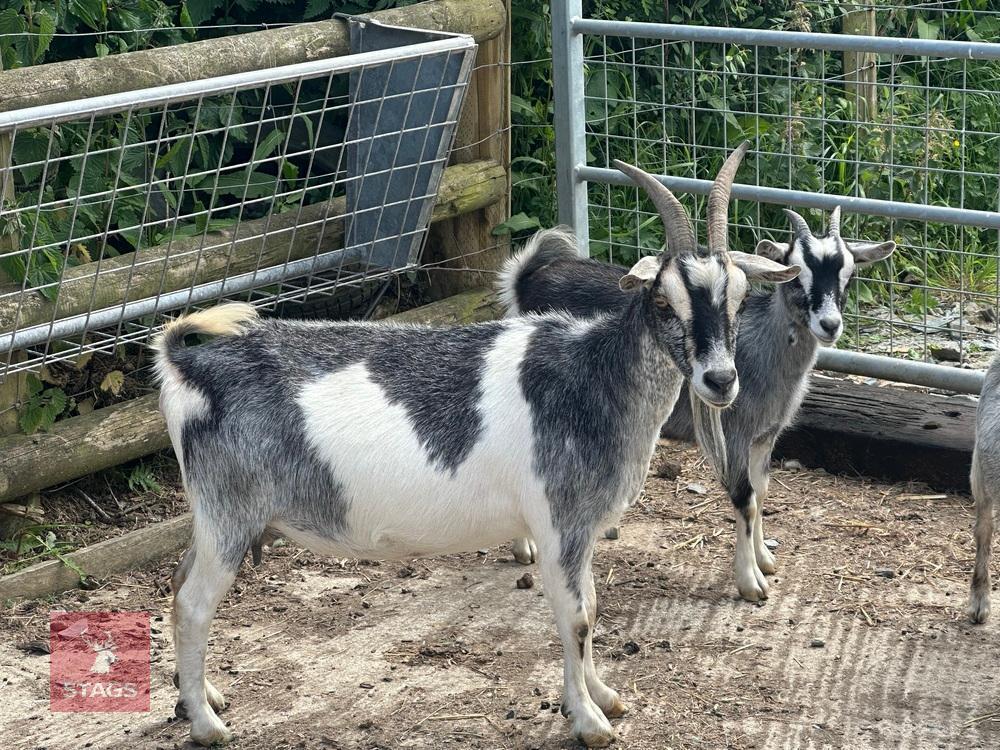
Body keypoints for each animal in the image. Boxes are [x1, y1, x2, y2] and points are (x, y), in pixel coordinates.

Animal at [157, 151, 798, 748]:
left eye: (740, 297)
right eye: (663, 301)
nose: (720, 380)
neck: (592, 377)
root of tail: (189, 367)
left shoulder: (581, 528)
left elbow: (591, 605)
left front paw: (604, 696)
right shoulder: (558, 523)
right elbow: (576, 616)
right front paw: (588, 721)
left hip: (214, 519)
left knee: (179, 584)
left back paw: (201, 696)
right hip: (231, 514)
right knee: (193, 603)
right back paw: (208, 724)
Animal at [506, 207, 895, 602]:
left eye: (850, 274)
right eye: (796, 272)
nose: (829, 324)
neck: (764, 348)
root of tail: (527, 279)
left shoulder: (764, 436)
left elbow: (761, 492)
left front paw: (765, 558)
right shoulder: (733, 434)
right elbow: (745, 498)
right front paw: (750, 581)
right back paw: (525, 549)